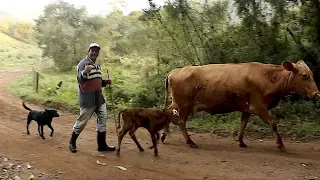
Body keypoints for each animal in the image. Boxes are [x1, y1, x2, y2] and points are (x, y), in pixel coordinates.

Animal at [161, 60, 320, 150]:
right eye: (305, 75)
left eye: (312, 74)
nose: (317, 94)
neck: (269, 77)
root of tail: (175, 70)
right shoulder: (259, 107)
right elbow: (273, 124)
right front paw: (280, 144)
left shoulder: (247, 108)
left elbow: (243, 124)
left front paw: (241, 141)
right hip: (184, 104)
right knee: (181, 122)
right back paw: (190, 142)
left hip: (177, 104)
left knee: (168, 113)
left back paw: (163, 136)